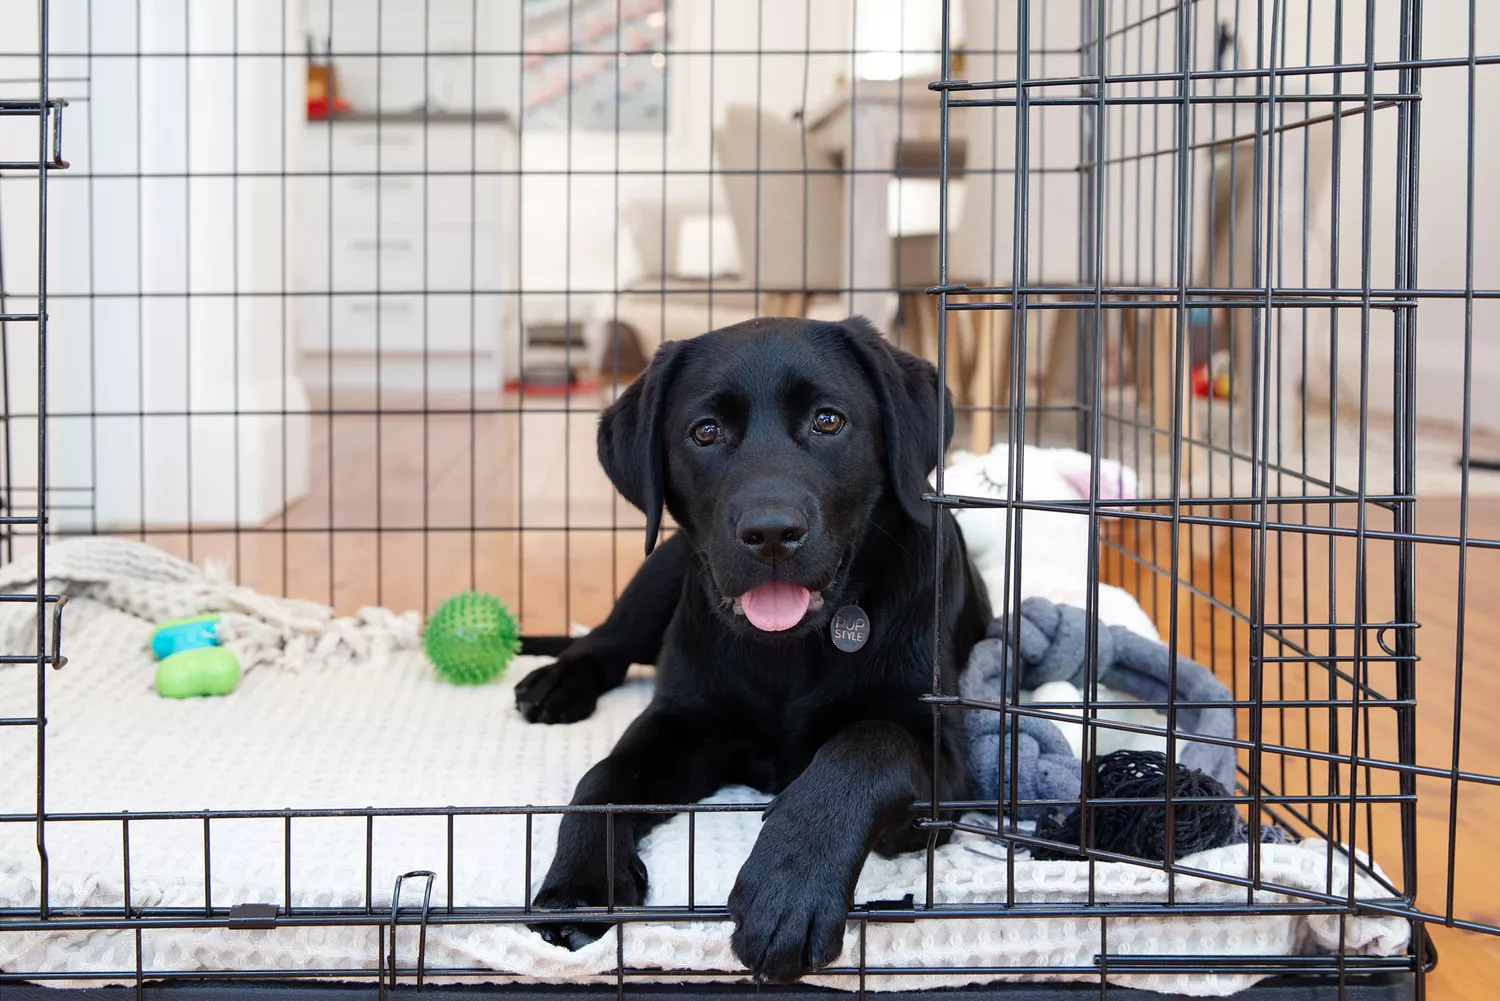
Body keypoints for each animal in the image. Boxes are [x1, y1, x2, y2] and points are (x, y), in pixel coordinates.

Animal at [510, 316, 990, 984]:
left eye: (828, 421)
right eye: (706, 431)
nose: (770, 532)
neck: (789, 652)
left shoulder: (949, 772)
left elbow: (868, 744)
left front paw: (788, 888)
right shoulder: (681, 721)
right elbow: (603, 778)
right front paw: (580, 887)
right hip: (664, 564)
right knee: (607, 640)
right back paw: (557, 682)